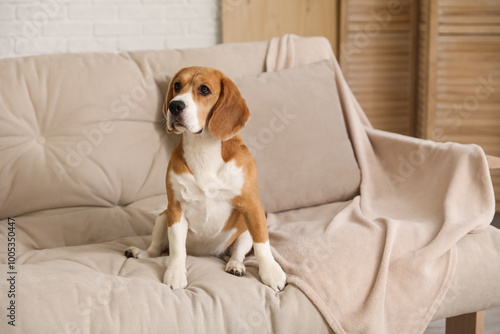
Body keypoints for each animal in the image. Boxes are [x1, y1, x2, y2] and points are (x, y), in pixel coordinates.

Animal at [125, 66, 288, 290]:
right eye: (177, 85)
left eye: (204, 90)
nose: (175, 105)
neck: (202, 148)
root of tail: (207, 254)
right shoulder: (175, 208)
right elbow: (177, 249)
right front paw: (175, 273)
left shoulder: (252, 206)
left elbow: (262, 244)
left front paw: (271, 272)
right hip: (162, 217)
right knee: (157, 249)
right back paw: (142, 252)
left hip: (244, 230)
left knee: (238, 252)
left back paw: (235, 265)